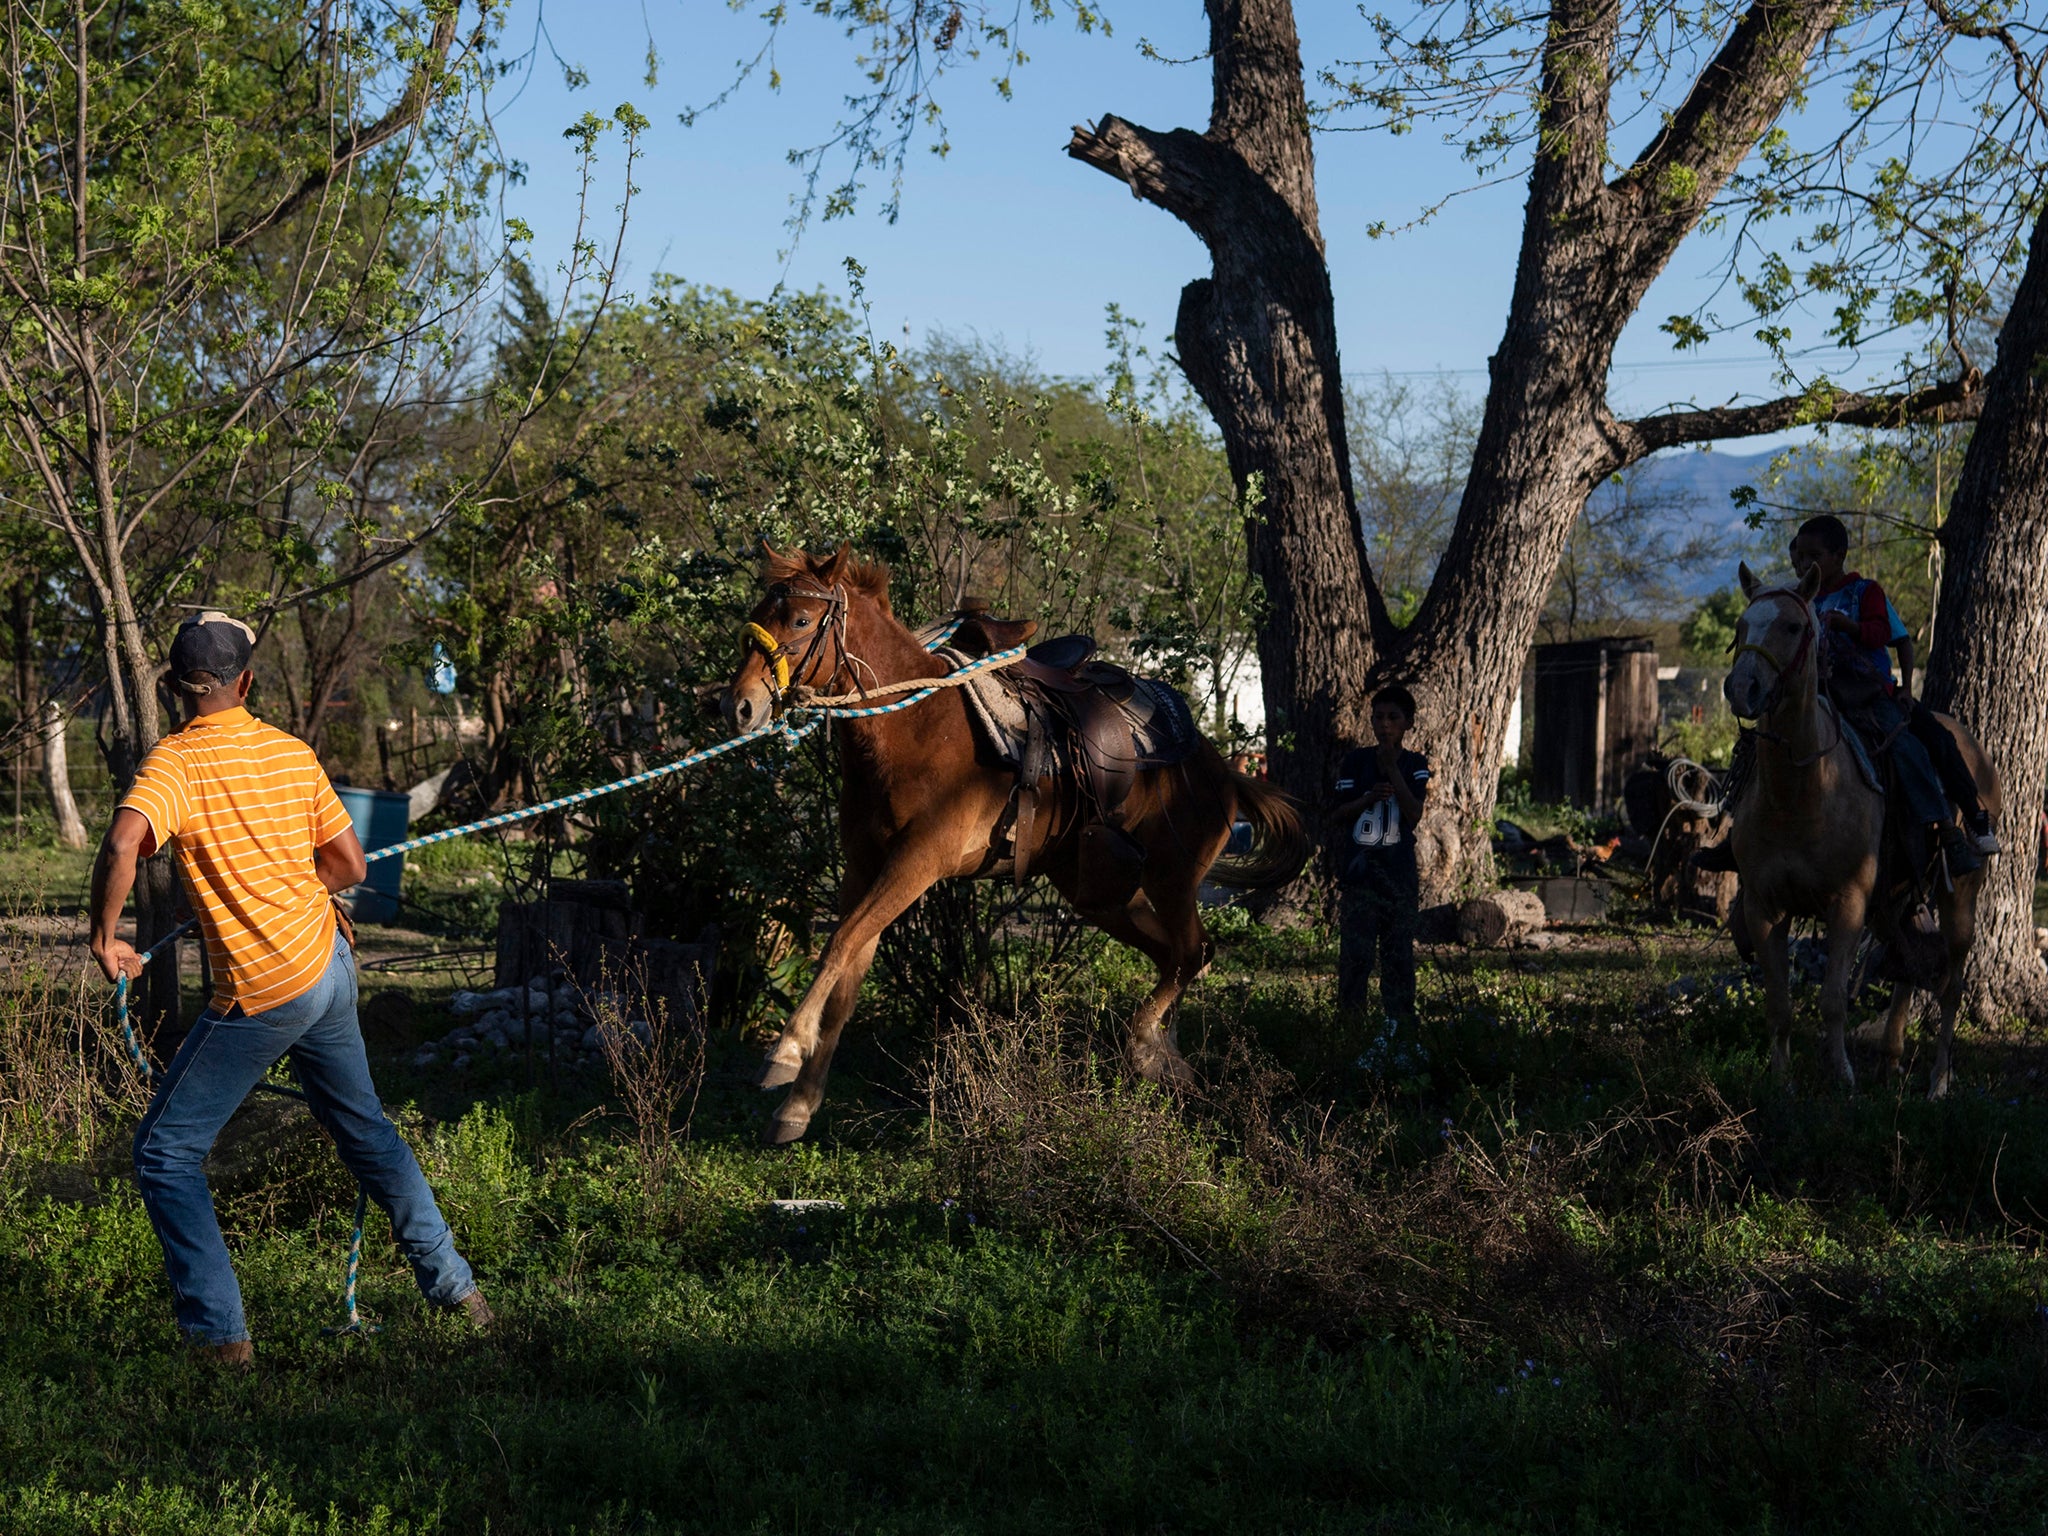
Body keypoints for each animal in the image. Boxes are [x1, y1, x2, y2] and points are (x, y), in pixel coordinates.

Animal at [720, 544, 1302, 1146]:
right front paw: (799, 1104)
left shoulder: (916, 864)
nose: (738, 706)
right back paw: (1168, 1059)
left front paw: (784, 1052)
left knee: (1192, 953)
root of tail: (1224, 772)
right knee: (1175, 957)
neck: (911, 728)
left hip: (1172, 879)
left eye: (800, 620)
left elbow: (837, 945)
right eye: (760, 611)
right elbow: (847, 974)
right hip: (1100, 893)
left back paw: (1146, 1046)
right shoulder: (864, 867)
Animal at [1720, 565, 1990, 1097]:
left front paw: (1842, 1077)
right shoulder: (1764, 906)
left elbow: (1831, 1001)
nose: (1743, 688)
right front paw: (1781, 1081)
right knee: (1910, 967)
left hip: (1960, 899)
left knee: (1950, 987)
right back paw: (1889, 1061)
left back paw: (1938, 1082)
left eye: (1793, 627)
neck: (1800, 794)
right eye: (1741, 626)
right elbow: (1779, 1005)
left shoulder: (1847, 903)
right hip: (1896, 899)